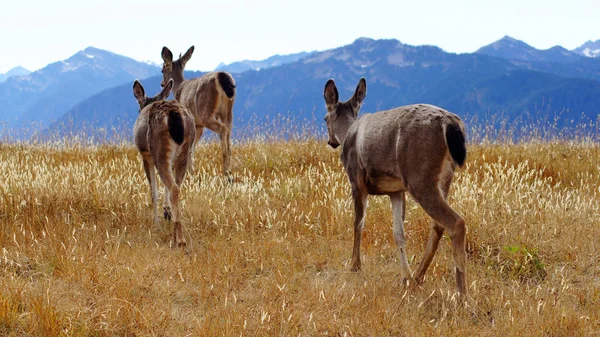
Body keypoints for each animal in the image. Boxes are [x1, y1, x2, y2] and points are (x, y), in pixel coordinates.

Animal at [159, 46, 237, 177]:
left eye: (162, 69)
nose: (162, 84)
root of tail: (221, 76)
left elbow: (188, 148)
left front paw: (187, 171)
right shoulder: (198, 125)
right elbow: (192, 148)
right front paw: (191, 171)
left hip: (206, 113)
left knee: (223, 130)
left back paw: (225, 172)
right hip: (227, 113)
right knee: (228, 134)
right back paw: (229, 171)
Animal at [324, 77, 468, 296]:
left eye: (325, 118)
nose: (331, 142)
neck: (348, 131)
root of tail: (450, 123)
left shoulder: (356, 179)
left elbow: (358, 223)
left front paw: (355, 265)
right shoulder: (396, 191)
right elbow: (398, 233)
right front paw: (405, 276)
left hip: (418, 175)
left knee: (456, 223)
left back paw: (462, 296)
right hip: (444, 177)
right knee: (438, 224)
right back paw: (418, 276)